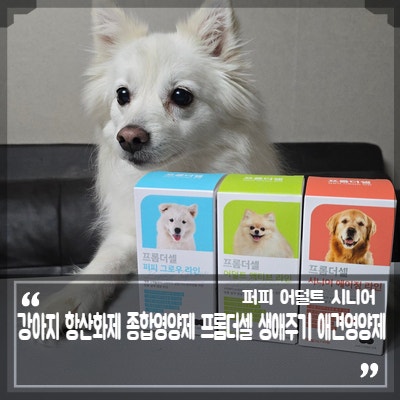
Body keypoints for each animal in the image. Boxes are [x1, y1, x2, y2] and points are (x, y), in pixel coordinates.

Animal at [41, 0, 281, 320]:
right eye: (122, 95)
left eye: (181, 96)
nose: (128, 137)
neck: (174, 172)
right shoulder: (127, 234)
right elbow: (105, 261)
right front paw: (69, 299)